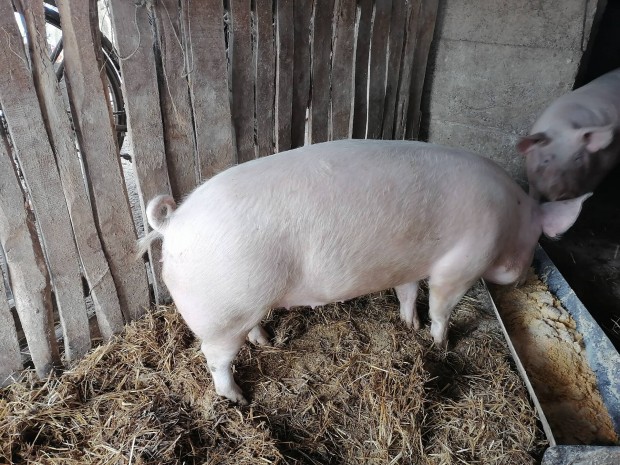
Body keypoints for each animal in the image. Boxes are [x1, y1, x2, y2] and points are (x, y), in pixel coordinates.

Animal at [140, 140, 592, 404]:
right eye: (537, 239)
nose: (522, 277)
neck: (511, 219)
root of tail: (172, 224)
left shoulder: (412, 263)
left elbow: (408, 292)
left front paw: (410, 326)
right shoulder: (460, 265)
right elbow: (441, 306)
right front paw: (440, 343)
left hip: (243, 305)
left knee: (248, 331)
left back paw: (267, 343)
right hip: (220, 312)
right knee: (215, 359)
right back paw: (238, 399)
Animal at [516, 67, 620, 201]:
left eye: (577, 158)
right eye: (546, 160)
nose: (564, 194)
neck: (563, 125)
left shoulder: (600, 172)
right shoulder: (532, 176)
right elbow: (533, 195)